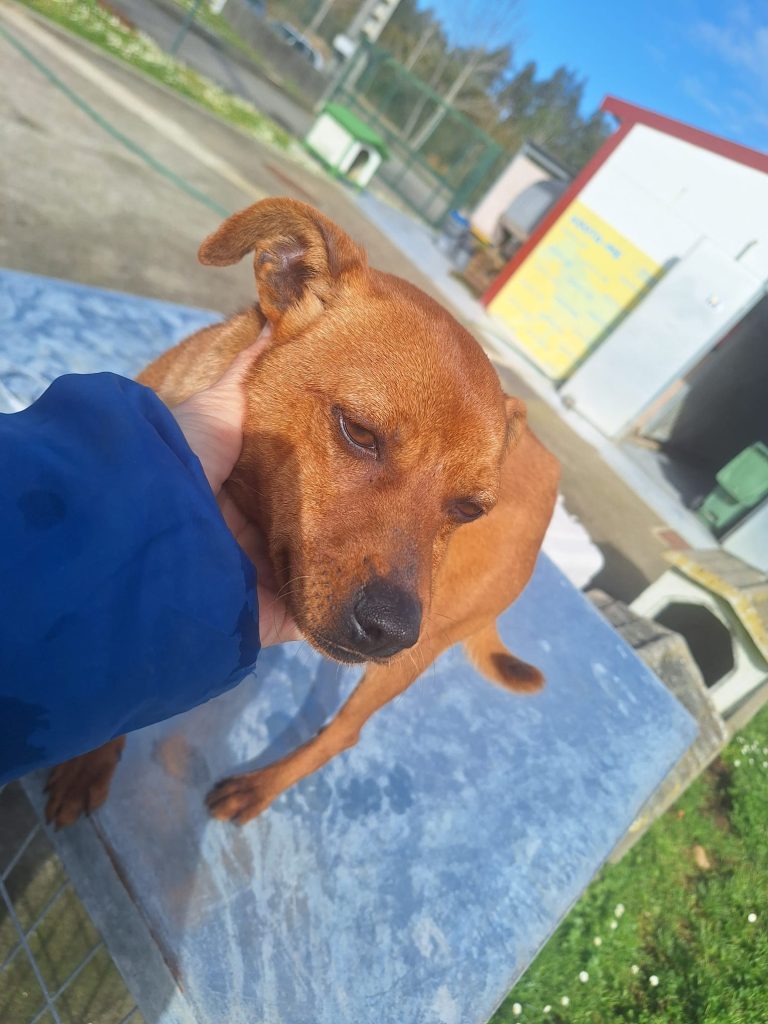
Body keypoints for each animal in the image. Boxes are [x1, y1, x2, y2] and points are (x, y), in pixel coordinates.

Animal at [44, 198, 559, 827]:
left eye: (468, 509)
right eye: (359, 431)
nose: (391, 630)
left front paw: (88, 764)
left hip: (422, 648)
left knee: (343, 734)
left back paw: (259, 787)